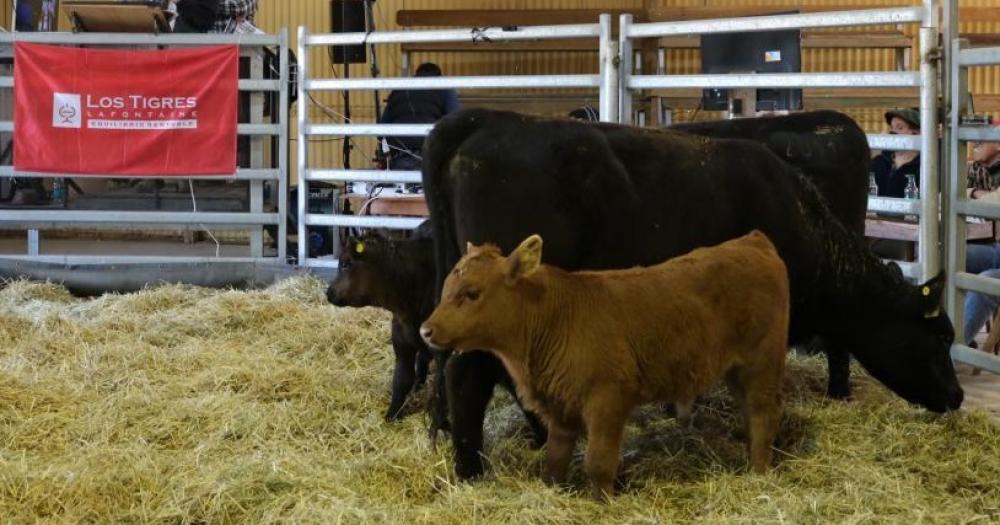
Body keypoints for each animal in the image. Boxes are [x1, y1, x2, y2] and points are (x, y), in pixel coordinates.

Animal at [420, 230, 788, 500]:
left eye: (472, 293)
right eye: (446, 287)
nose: (426, 330)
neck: (553, 318)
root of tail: (753, 240)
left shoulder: (607, 400)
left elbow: (598, 462)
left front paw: (603, 502)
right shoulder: (560, 408)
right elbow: (555, 459)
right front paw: (554, 491)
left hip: (762, 363)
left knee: (764, 412)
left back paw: (759, 472)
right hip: (737, 371)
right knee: (750, 413)